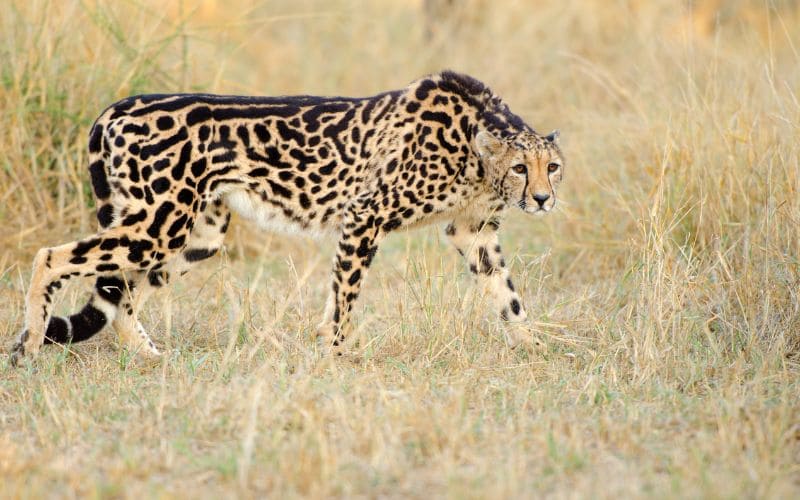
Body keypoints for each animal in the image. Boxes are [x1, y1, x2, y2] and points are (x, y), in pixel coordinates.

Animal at [9, 70, 564, 366]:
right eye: (521, 167)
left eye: (552, 167)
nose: (542, 199)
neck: (474, 144)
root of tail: (121, 104)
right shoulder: (364, 216)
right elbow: (344, 300)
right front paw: (336, 357)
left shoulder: (474, 232)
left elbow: (509, 298)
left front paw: (539, 349)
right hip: (157, 223)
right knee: (51, 256)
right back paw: (28, 346)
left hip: (197, 234)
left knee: (122, 295)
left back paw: (151, 358)